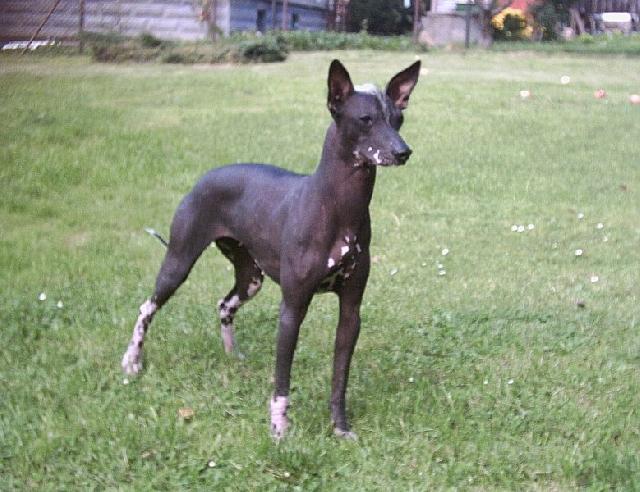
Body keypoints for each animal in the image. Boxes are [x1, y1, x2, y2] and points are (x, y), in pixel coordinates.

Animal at [121, 57, 420, 438]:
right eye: (366, 119)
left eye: (398, 120)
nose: (403, 152)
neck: (337, 208)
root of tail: (205, 176)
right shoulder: (292, 308)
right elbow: (282, 379)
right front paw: (280, 428)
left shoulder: (351, 312)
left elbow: (340, 376)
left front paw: (339, 427)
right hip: (179, 260)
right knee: (147, 306)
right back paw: (132, 361)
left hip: (251, 277)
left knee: (224, 304)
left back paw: (232, 356)